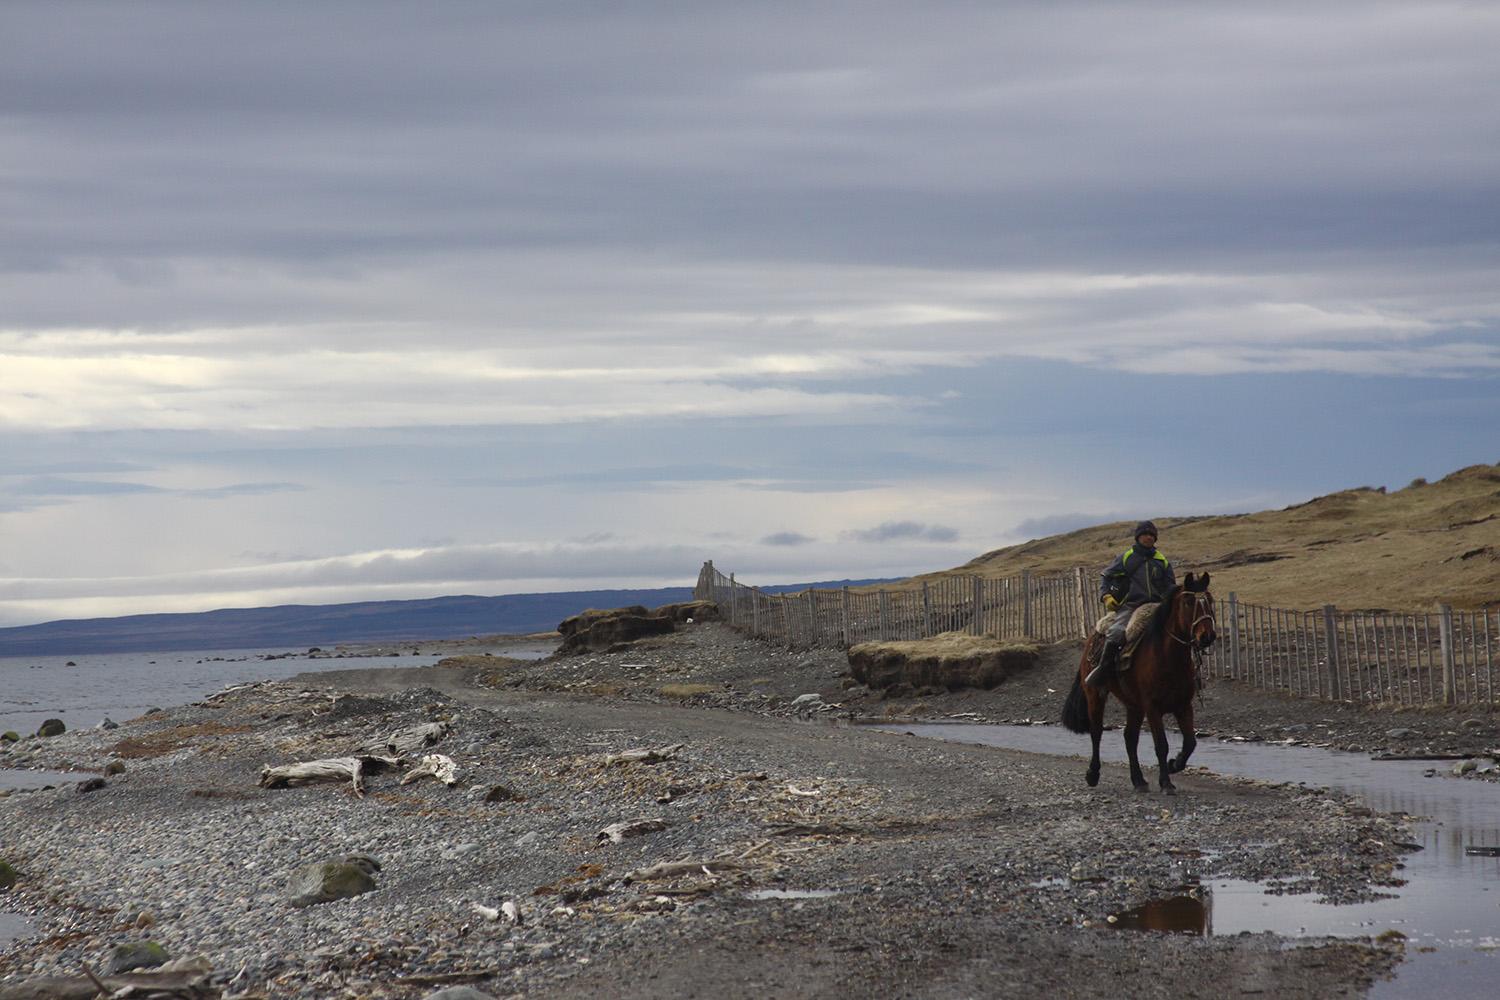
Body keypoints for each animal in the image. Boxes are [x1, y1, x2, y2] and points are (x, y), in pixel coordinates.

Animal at [1056, 575, 1218, 791]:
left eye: (1210, 600)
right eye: (1188, 602)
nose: (1207, 636)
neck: (1167, 657)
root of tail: (1093, 636)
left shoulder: (1183, 706)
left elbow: (1190, 742)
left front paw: (1174, 765)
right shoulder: (1152, 707)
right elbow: (1161, 745)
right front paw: (1166, 783)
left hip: (1134, 705)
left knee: (1129, 737)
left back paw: (1138, 780)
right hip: (1095, 695)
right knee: (1096, 732)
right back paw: (1093, 774)